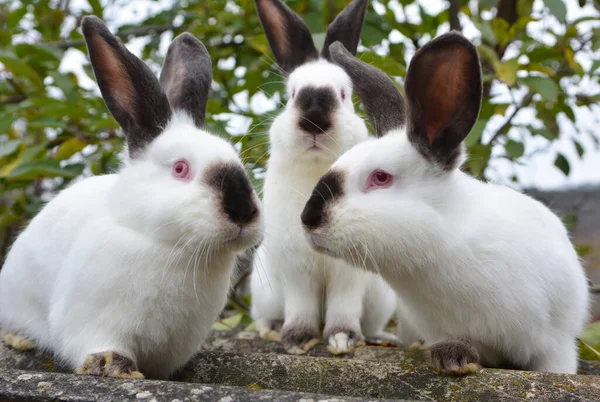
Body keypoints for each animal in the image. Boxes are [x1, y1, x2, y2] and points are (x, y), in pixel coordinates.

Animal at [0, 16, 262, 380]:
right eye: (180, 168)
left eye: (238, 160)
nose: (243, 211)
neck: (168, 247)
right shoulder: (91, 320)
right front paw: (115, 367)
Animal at [250, 0, 398, 354]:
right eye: (292, 95)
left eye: (343, 94)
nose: (314, 119)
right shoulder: (295, 267)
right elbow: (300, 305)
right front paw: (297, 340)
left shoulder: (349, 270)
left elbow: (343, 306)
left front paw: (341, 339)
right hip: (263, 290)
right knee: (262, 314)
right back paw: (267, 330)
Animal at [302, 36, 592, 376]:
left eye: (381, 177)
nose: (308, 218)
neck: (445, 246)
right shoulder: (446, 328)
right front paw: (451, 357)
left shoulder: (555, 345)